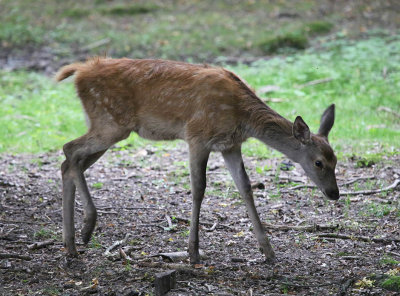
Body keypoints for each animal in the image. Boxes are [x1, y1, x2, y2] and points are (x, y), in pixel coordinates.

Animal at [54, 57, 340, 264]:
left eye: (336, 160)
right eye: (319, 163)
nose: (334, 193)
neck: (244, 116)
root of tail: (79, 71)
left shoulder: (230, 145)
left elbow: (245, 188)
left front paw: (268, 251)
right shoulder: (197, 136)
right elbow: (199, 188)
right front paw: (193, 252)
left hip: (107, 125)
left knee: (69, 161)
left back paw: (71, 245)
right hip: (111, 122)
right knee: (70, 150)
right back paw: (87, 227)